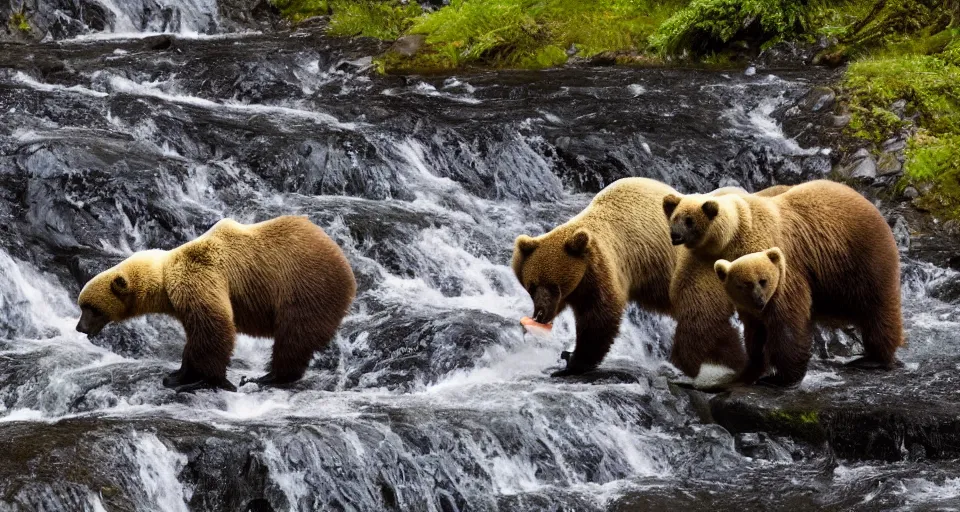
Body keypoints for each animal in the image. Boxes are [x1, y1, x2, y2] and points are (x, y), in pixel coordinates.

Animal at [77, 216, 356, 392]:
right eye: (82, 306)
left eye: (91, 308)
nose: (79, 327)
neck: (165, 278)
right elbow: (195, 337)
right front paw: (178, 374)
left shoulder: (198, 278)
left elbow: (213, 328)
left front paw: (202, 380)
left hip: (305, 287)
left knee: (294, 335)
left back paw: (267, 377)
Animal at [664, 182, 904, 386]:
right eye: (674, 217)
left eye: (689, 220)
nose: (674, 235)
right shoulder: (704, 266)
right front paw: (746, 370)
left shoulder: (781, 262)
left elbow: (785, 316)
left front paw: (780, 377)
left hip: (861, 259)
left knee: (877, 307)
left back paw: (874, 358)